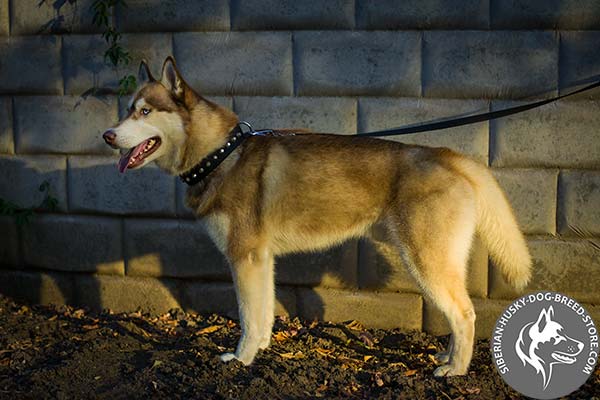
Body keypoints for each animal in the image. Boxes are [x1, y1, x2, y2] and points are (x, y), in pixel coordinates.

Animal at [102, 57, 528, 376]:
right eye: (126, 111)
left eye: (144, 111)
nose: (107, 135)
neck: (220, 154)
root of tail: (447, 155)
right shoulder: (261, 260)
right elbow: (263, 314)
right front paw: (259, 352)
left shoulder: (244, 257)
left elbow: (248, 316)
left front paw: (239, 360)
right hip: (436, 263)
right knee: (459, 313)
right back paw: (448, 357)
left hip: (426, 262)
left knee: (466, 314)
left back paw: (455, 369)